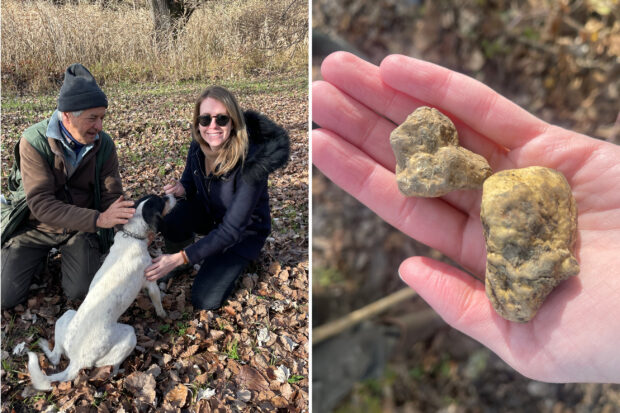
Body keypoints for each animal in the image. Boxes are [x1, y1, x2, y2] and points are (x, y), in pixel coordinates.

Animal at [27, 193, 176, 390]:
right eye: (162, 200)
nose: (172, 194)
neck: (132, 236)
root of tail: (76, 361)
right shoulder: (150, 282)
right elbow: (157, 301)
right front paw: (163, 314)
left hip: (66, 316)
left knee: (55, 356)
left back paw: (45, 346)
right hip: (129, 336)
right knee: (111, 367)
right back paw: (119, 371)